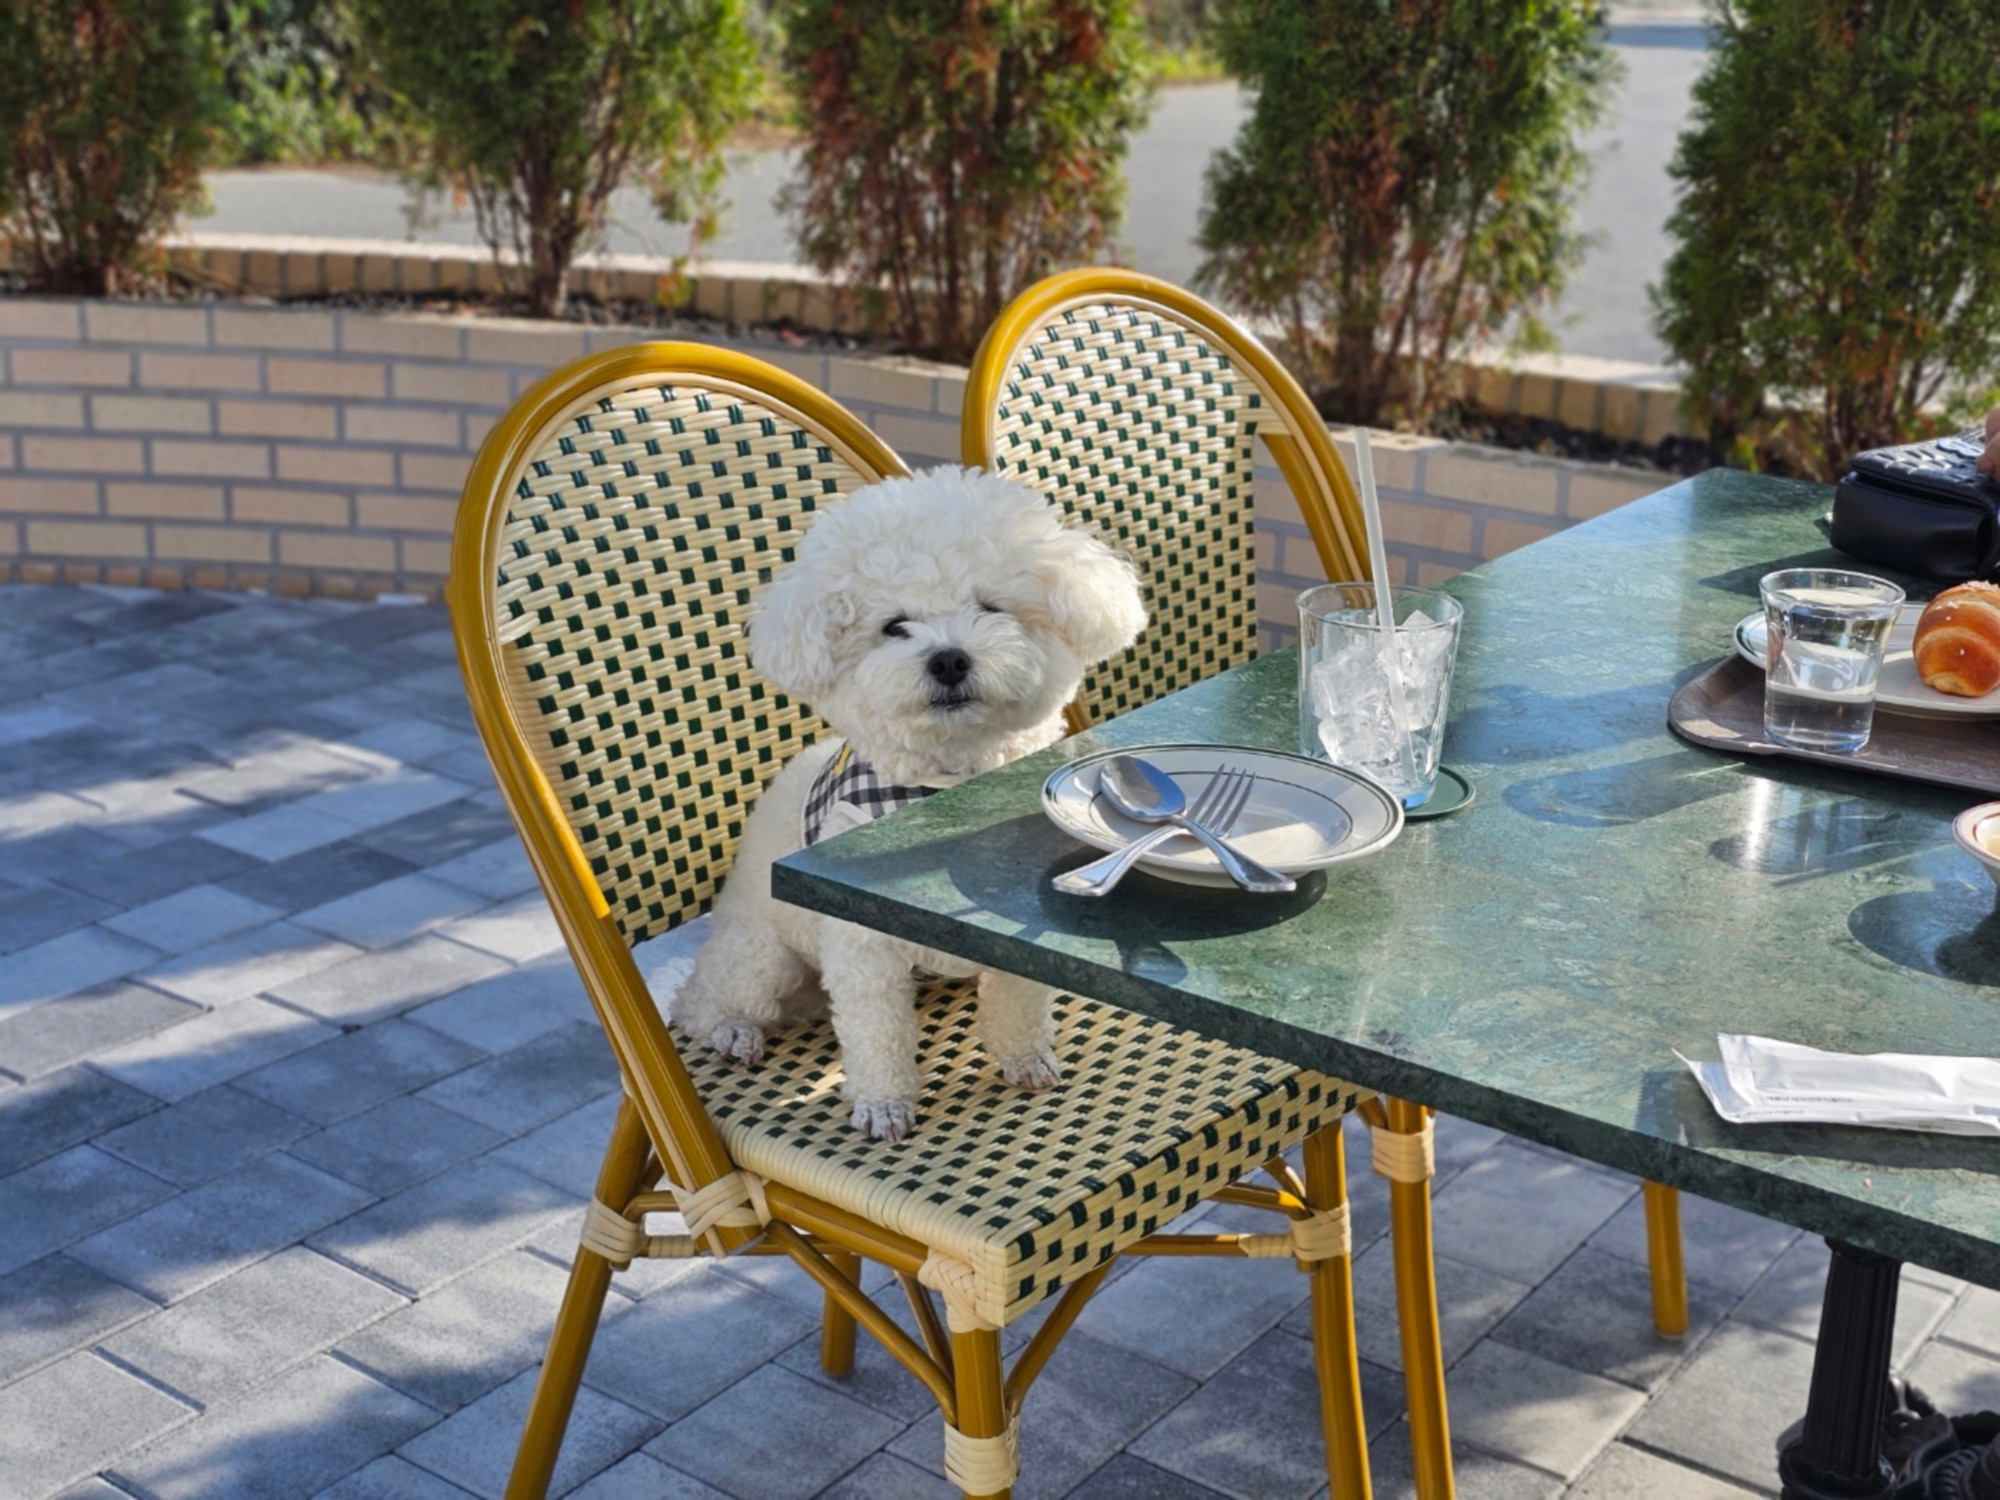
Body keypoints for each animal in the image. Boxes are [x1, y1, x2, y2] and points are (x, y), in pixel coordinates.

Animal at [656, 465, 1145, 1141]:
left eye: (989, 608)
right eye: (894, 626)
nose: (949, 658)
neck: (942, 786)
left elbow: (1018, 999)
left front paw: (1024, 1058)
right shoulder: (861, 945)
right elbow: (876, 1032)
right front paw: (884, 1105)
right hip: (763, 956)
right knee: (701, 1000)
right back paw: (732, 1031)